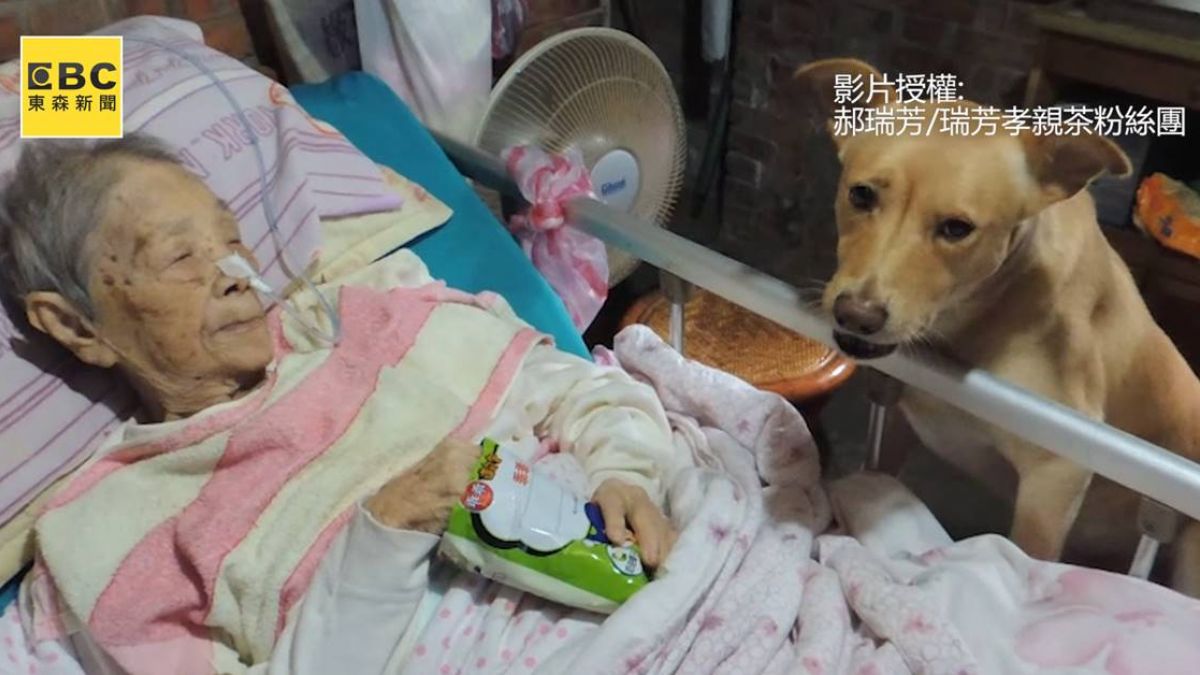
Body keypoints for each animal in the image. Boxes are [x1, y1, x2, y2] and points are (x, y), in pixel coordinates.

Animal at [795, 58, 1200, 594]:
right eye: (860, 195)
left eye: (957, 229)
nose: (856, 314)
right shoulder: (897, 413)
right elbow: (874, 473)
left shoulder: (1057, 474)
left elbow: (1029, 554)